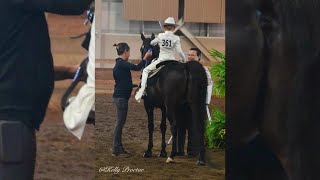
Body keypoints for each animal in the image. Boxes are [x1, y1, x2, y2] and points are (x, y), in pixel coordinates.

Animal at [140, 32, 208, 165]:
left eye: (142, 48)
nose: (144, 57)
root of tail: (186, 68)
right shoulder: (163, 107)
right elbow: (162, 126)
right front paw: (162, 152)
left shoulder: (149, 106)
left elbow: (151, 126)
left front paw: (149, 151)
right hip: (195, 103)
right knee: (199, 125)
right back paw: (201, 158)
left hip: (171, 106)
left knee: (175, 126)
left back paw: (172, 155)